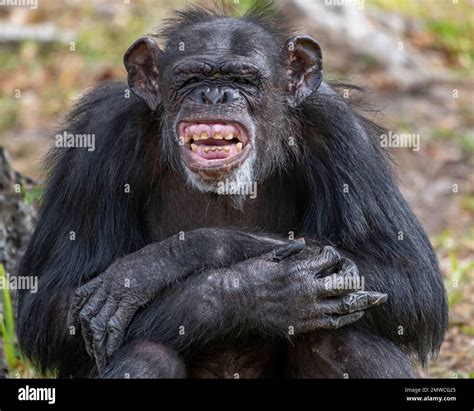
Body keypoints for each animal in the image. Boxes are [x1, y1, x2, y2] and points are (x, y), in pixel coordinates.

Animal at [17, 1, 448, 380]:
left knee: (346, 339)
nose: (214, 95)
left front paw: (155, 265)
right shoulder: (99, 137)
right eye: (191, 78)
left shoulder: (340, 130)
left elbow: (410, 278)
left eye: (244, 79)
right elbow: (51, 305)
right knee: (147, 353)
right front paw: (255, 290)